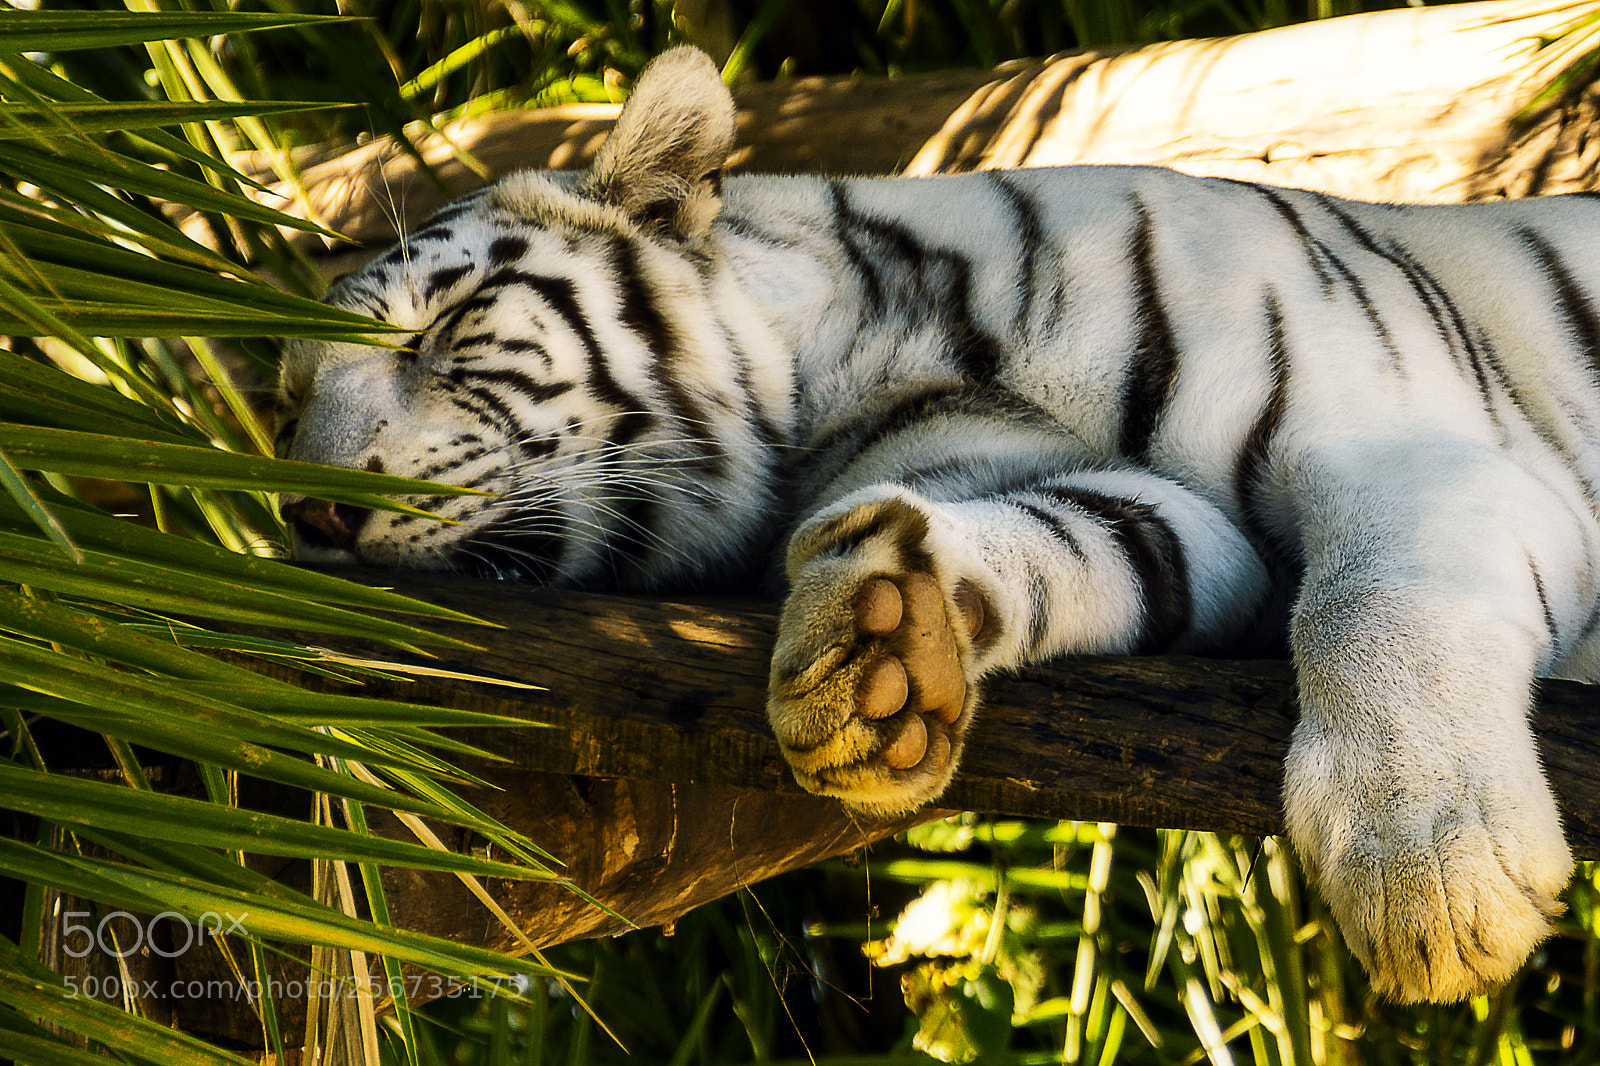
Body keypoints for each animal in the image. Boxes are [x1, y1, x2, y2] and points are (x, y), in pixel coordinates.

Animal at [275, 45, 1600, 1004]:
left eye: (439, 329)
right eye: (287, 407)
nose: (311, 512)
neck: (840, 367)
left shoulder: (1411, 444)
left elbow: (1370, 605)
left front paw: (1432, 877)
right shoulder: (1153, 517)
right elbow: (1082, 534)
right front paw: (881, 651)